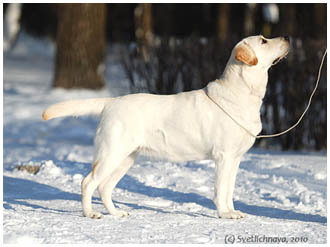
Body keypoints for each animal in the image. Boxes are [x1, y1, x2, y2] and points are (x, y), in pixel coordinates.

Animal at [42, 35, 290, 219]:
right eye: (264, 40)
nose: (287, 37)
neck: (243, 92)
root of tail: (111, 101)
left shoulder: (235, 159)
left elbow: (229, 190)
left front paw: (231, 212)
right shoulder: (224, 157)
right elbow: (220, 191)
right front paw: (224, 214)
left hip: (126, 158)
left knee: (104, 187)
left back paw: (117, 213)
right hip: (112, 153)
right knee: (88, 182)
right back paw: (90, 213)